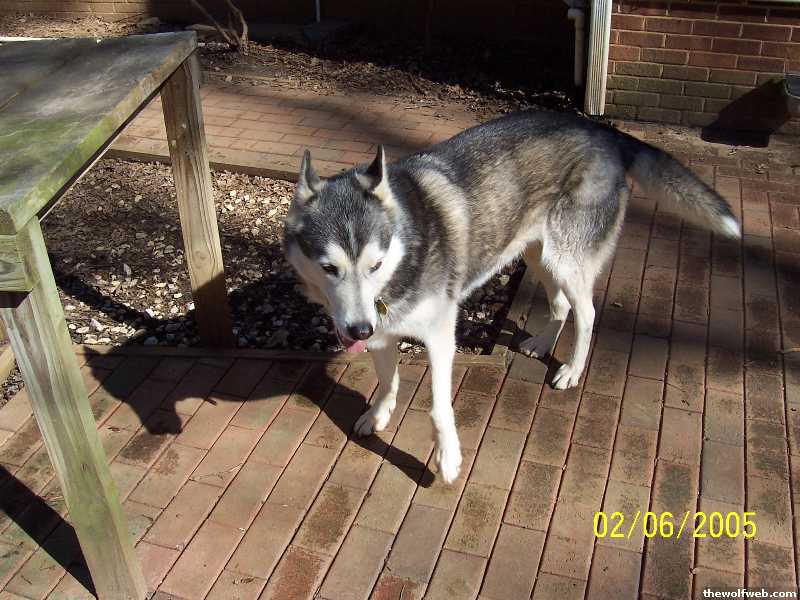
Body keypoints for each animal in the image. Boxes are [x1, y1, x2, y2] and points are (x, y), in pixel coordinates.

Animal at [283, 109, 739, 483]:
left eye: (375, 265)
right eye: (329, 268)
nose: (358, 329)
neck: (406, 248)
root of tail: (601, 129)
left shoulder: (439, 336)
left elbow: (438, 407)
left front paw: (447, 458)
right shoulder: (381, 332)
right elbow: (387, 379)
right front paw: (379, 413)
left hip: (566, 261)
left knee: (587, 313)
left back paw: (572, 369)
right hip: (540, 256)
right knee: (559, 305)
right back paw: (543, 342)